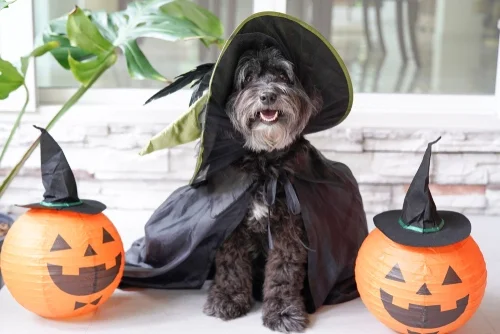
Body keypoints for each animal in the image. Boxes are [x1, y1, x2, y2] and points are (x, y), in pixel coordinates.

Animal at [203, 46, 324, 332]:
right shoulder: (231, 225)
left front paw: (283, 311)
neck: (265, 164)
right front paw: (228, 297)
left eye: (282, 75)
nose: (268, 95)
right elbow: (231, 264)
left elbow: (284, 271)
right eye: (247, 78)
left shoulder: (289, 230)